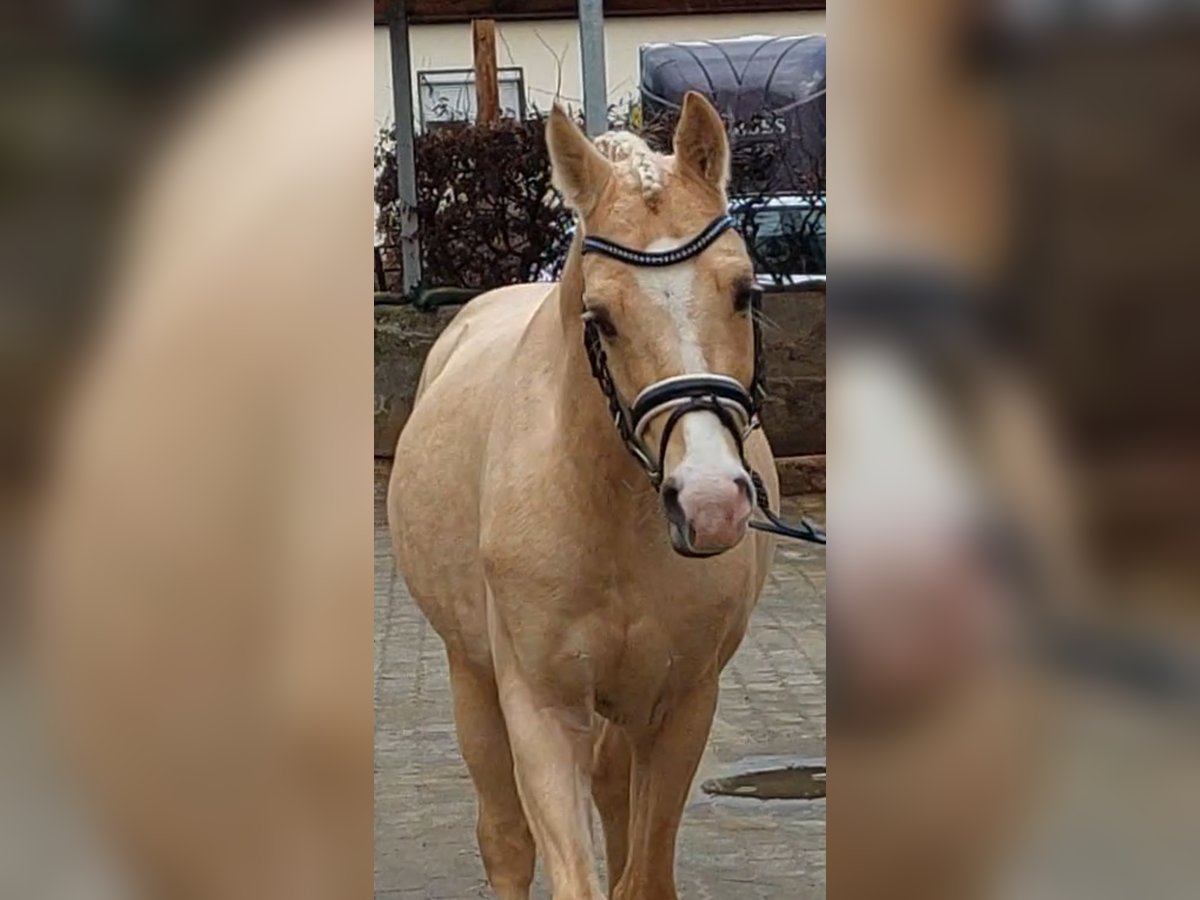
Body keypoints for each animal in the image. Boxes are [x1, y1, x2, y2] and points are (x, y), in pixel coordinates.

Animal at [384, 95, 777, 897]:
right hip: (471, 679)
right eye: (601, 318)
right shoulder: (541, 708)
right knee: (505, 839)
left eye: (743, 292)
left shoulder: (680, 704)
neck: (611, 513)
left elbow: (643, 872)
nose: (710, 503)